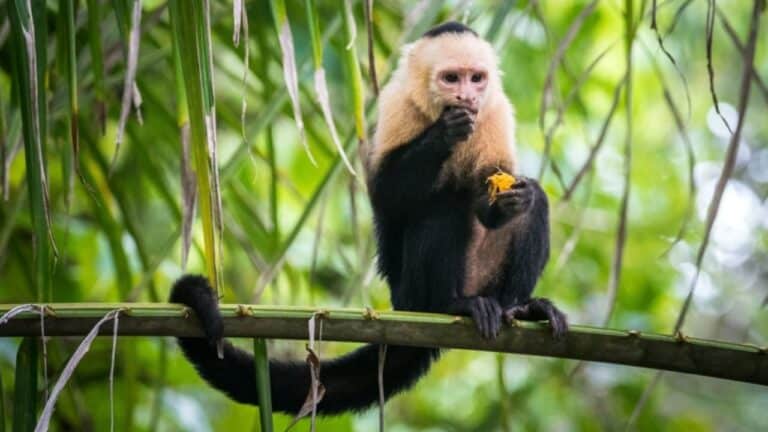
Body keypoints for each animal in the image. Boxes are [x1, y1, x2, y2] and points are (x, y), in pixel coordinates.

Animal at [170, 21, 567, 417]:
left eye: (477, 78)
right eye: (452, 78)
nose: (467, 97)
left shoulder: (496, 111)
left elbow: (493, 196)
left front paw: (514, 199)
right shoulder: (397, 104)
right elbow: (387, 196)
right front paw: (445, 132)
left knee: (531, 209)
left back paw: (520, 307)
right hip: (411, 295)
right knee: (442, 208)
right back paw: (452, 304)